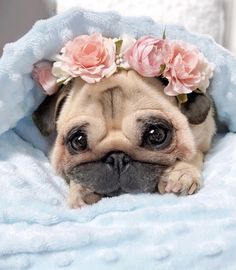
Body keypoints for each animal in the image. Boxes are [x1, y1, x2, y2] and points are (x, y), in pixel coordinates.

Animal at [33, 70, 216, 209]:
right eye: (79, 141)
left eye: (155, 135)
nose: (117, 157)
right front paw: (81, 189)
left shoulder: (204, 137)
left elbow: (193, 153)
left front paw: (181, 174)